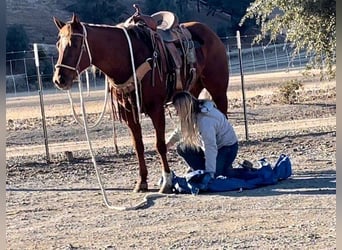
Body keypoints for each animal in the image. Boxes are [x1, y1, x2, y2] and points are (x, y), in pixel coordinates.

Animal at [52, 13, 228, 193]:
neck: (127, 59)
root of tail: (210, 33)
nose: (59, 79)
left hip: (218, 91)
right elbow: (138, 146)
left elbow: (160, 145)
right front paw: (142, 181)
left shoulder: (156, 109)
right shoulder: (130, 112)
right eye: (58, 44)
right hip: (193, 89)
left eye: (74, 44)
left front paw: (166, 181)